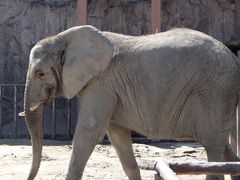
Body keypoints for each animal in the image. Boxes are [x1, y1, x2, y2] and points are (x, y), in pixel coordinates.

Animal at [18, 25, 240, 180]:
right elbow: (117, 135)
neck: (62, 38)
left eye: (40, 74)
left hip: (215, 92)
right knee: (222, 148)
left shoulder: (101, 83)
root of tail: (233, 58)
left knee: (212, 147)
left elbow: (89, 132)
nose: (28, 177)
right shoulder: (110, 89)